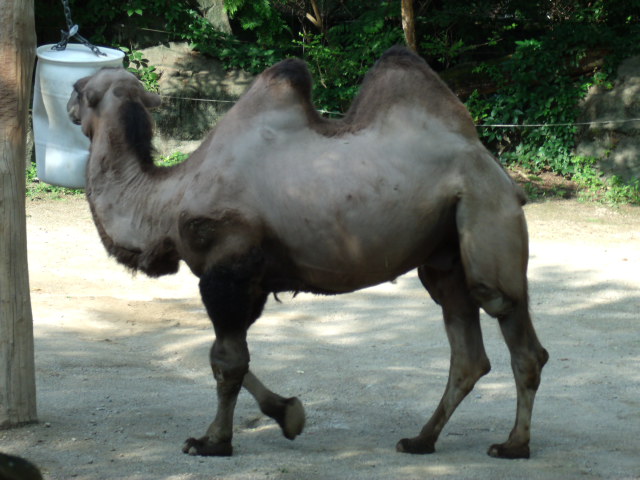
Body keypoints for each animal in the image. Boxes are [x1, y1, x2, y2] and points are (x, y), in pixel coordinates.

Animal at [67, 46, 549, 459]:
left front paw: (212, 442)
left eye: (80, 88)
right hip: (444, 254)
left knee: (510, 320)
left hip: (485, 214)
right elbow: (230, 355)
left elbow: (226, 361)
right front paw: (287, 414)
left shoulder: (227, 270)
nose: (69, 103)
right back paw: (420, 440)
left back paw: (513, 444)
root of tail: (499, 172)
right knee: (468, 352)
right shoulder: (254, 282)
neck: (166, 201)